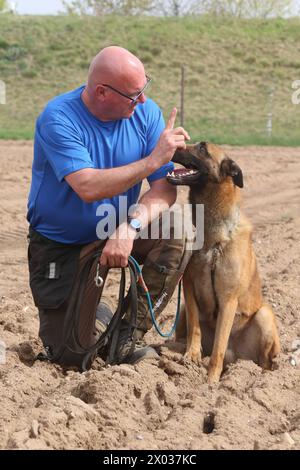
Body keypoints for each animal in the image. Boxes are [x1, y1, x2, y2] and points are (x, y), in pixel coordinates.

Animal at [168, 142, 280, 382]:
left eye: (202, 148)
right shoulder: (189, 288)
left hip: (264, 316)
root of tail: (236, 355)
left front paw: (210, 380)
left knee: (264, 362)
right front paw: (191, 356)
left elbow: (218, 346)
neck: (213, 239)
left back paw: (259, 377)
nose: (173, 144)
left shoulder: (228, 300)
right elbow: (194, 327)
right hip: (181, 311)